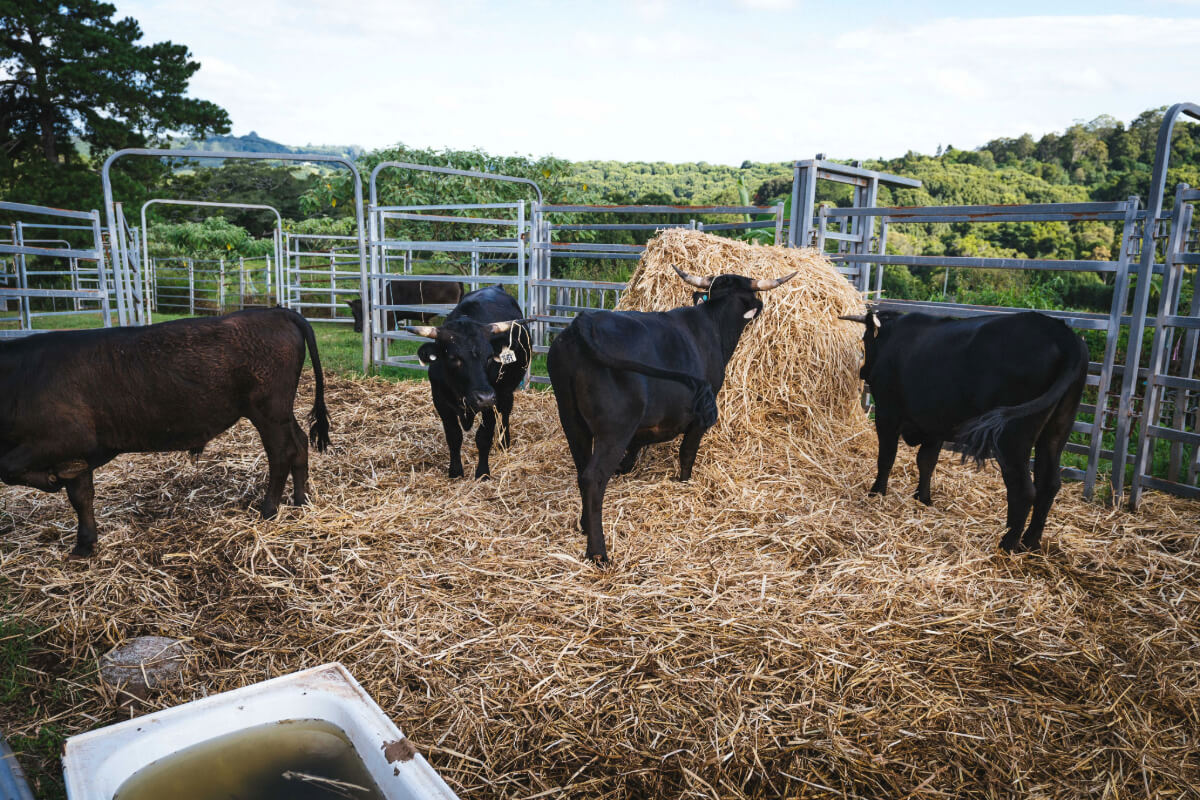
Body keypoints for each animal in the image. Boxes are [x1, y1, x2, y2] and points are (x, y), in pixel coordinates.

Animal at [405, 284, 532, 479]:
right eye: (453, 358)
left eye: (489, 357)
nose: (484, 397)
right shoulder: (440, 401)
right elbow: (454, 436)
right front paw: (455, 471)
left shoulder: (492, 400)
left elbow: (483, 437)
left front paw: (483, 473)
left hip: (505, 390)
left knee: (505, 411)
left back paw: (504, 443)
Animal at [844, 309, 1089, 554]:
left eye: (865, 339)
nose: (863, 372)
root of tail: (1060, 332)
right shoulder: (934, 425)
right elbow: (926, 462)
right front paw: (923, 499)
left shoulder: (887, 414)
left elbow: (886, 458)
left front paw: (876, 492)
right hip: (1056, 431)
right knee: (1049, 484)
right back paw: (1030, 543)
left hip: (1013, 437)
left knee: (1024, 490)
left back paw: (1007, 545)